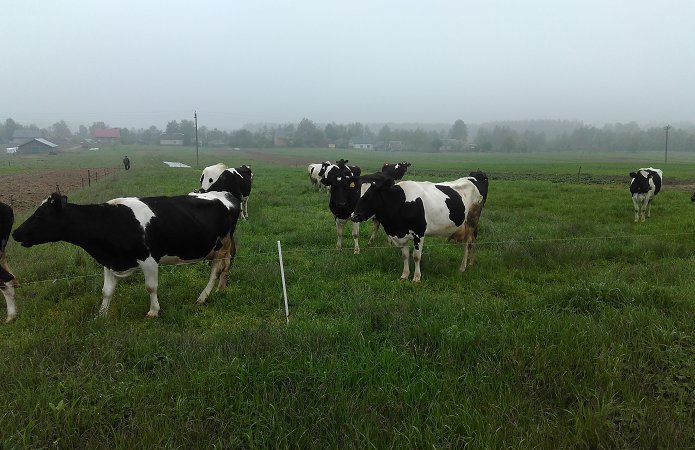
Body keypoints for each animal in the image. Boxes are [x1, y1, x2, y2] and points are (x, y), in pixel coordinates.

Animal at [12, 192, 242, 318]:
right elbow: (106, 291)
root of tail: (226, 194)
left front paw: (153, 311)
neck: (111, 220)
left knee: (216, 270)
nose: (15, 232)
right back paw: (220, 290)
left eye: (40, 214)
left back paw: (203, 297)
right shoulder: (109, 261)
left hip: (221, 245)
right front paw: (101, 314)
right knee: (223, 269)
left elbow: (151, 287)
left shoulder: (149, 259)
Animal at [354, 171, 490, 284]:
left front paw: (416, 277)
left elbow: (416, 256)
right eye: (358, 195)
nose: (353, 215)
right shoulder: (402, 234)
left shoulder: (419, 233)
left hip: (471, 220)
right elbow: (405, 255)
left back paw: (463, 267)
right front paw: (404, 275)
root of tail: (474, 177)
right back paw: (471, 263)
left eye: (369, 197)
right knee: (473, 241)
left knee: (468, 243)